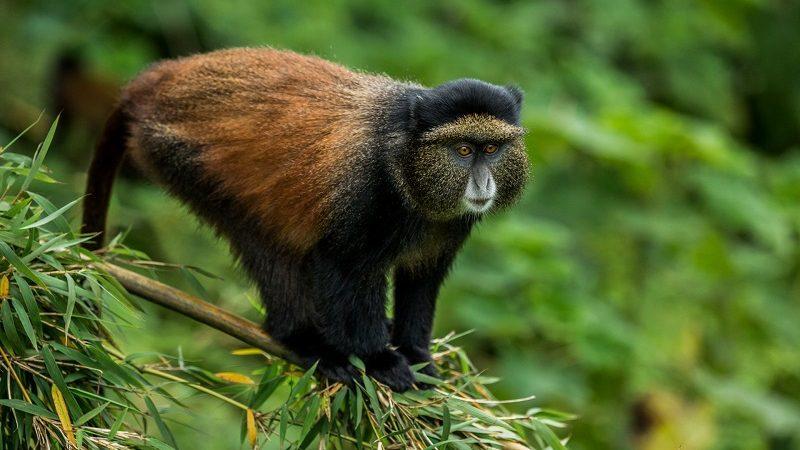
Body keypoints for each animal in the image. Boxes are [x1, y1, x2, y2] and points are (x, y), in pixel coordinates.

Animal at [82, 48, 529, 392]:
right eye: (463, 150)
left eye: (491, 148)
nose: (483, 183)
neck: (405, 160)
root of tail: (154, 81)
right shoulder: (365, 195)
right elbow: (341, 267)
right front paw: (378, 359)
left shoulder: (447, 229)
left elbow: (421, 279)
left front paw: (417, 355)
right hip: (183, 159)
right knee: (267, 245)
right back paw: (304, 340)